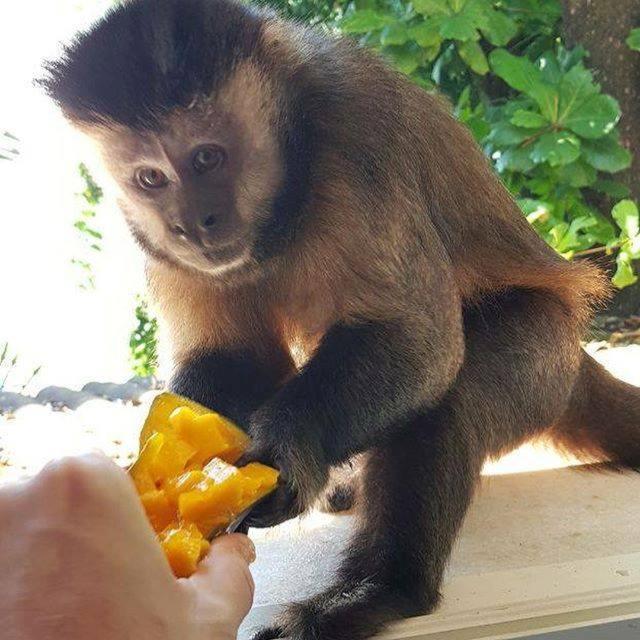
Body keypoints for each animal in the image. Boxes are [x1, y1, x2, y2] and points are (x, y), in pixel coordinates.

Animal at [42, 2, 640, 636]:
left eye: (206, 157)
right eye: (150, 179)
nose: (190, 223)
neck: (286, 201)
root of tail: (575, 355)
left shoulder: (357, 141)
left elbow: (421, 343)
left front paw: (292, 449)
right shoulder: (157, 243)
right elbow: (232, 358)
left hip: (543, 360)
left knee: (454, 398)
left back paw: (382, 590)